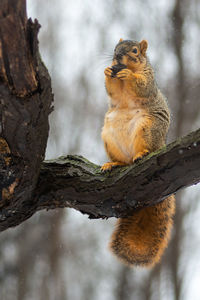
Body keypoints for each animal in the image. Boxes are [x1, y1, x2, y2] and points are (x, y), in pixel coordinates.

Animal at [101, 38, 175, 266]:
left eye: (134, 50)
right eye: (115, 49)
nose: (117, 57)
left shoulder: (148, 79)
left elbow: (142, 86)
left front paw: (129, 75)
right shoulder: (115, 90)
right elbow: (112, 90)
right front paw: (107, 71)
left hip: (147, 129)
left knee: (144, 149)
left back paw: (141, 154)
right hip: (109, 135)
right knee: (123, 162)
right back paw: (113, 164)